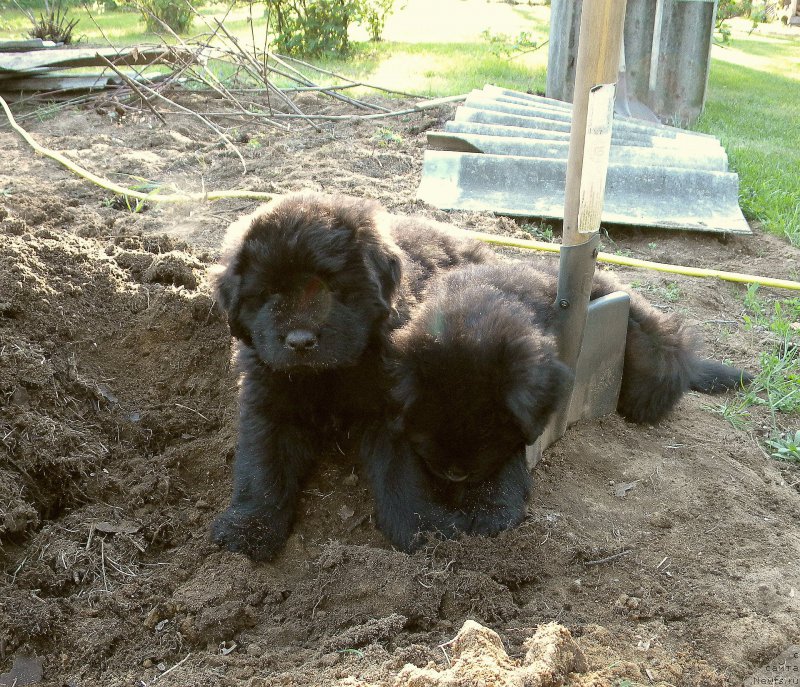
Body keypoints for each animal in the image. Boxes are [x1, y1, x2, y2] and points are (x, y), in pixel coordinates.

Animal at [366, 260, 752, 552]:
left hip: (652, 365)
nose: (455, 473)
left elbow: (504, 469)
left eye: (490, 428)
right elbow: (397, 476)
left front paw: (490, 512)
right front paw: (428, 526)